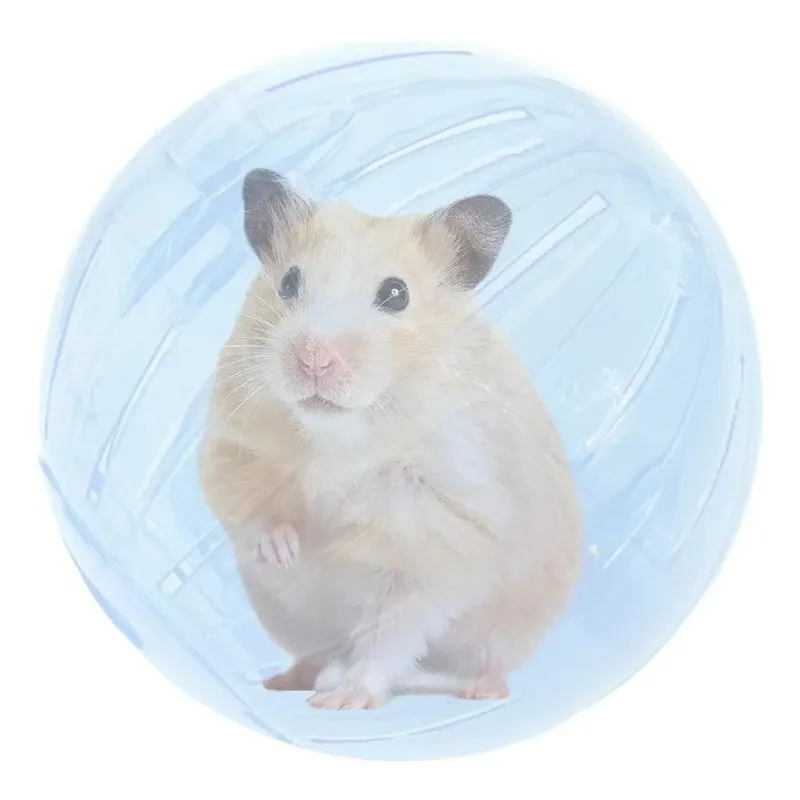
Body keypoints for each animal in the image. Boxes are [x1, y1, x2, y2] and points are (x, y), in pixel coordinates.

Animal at [198, 169, 582, 710]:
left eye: (396, 294)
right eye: (289, 281)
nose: (314, 360)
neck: (342, 431)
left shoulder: (435, 533)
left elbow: (391, 632)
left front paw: (344, 701)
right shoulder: (232, 441)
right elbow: (243, 505)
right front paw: (285, 550)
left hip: (510, 629)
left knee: (488, 663)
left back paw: (477, 692)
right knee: (312, 653)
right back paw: (284, 680)